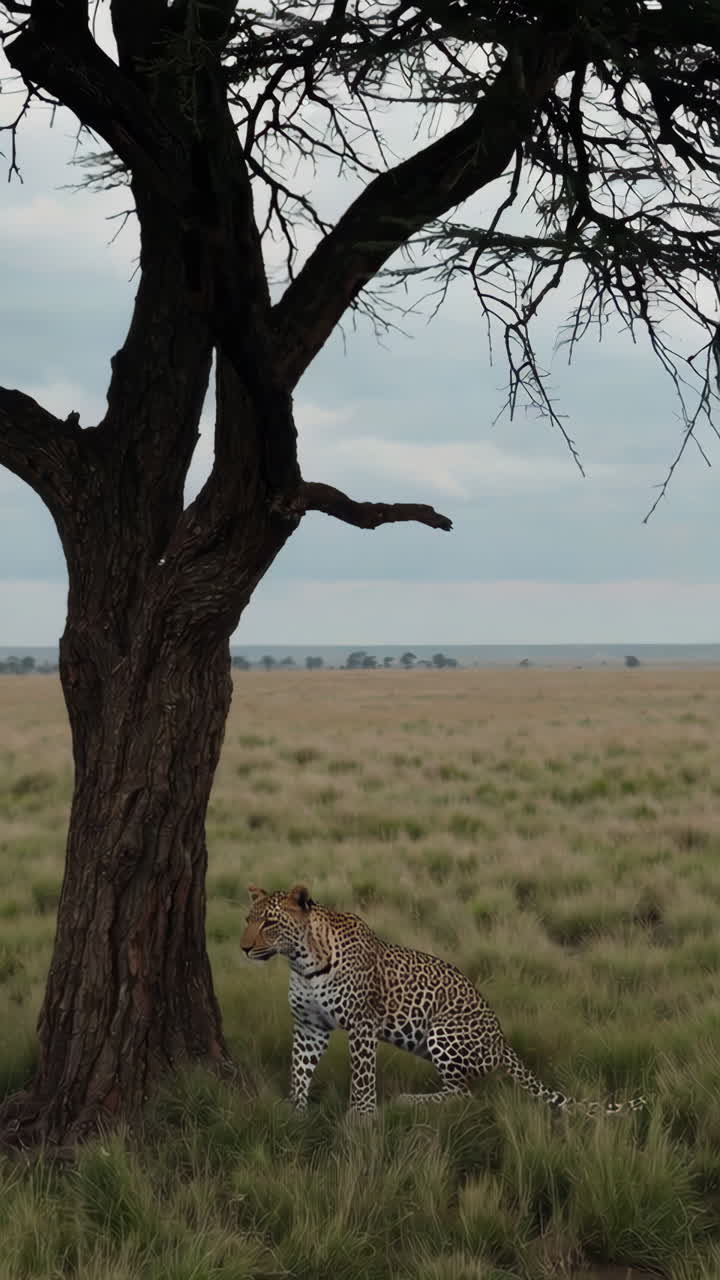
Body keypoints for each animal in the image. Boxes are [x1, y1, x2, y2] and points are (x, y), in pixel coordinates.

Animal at [241, 883, 646, 1116]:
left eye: (270, 923)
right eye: (248, 919)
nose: (243, 948)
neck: (301, 961)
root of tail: (503, 1041)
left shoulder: (361, 1024)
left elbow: (362, 1079)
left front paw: (361, 1120)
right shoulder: (310, 1025)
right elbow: (300, 1070)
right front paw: (293, 1112)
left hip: (442, 1031)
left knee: (465, 1095)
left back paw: (408, 1102)